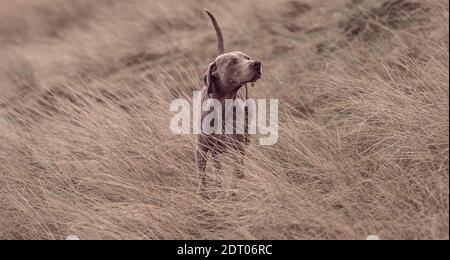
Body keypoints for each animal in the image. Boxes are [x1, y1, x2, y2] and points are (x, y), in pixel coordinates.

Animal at [195, 9, 262, 191]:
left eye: (247, 57)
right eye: (232, 61)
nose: (257, 64)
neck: (222, 106)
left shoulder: (236, 148)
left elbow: (236, 173)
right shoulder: (201, 152)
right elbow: (203, 181)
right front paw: (204, 195)